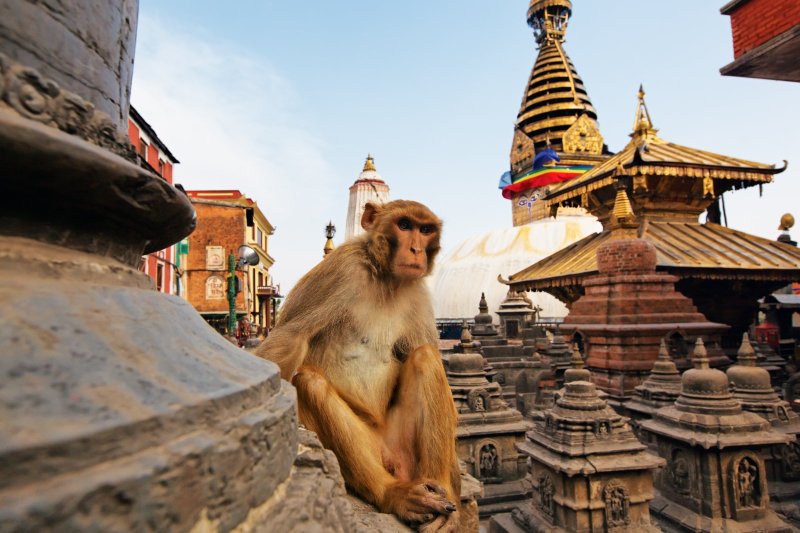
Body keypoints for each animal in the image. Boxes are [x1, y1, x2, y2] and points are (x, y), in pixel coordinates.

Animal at [255, 200, 461, 532]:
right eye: (405, 225)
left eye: (426, 229)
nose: (416, 249)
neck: (385, 278)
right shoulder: (340, 270)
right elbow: (290, 339)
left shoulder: (417, 293)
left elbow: (420, 351)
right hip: (371, 446)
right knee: (309, 382)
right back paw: (392, 494)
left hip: (405, 447)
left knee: (425, 356)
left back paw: (441, 491)